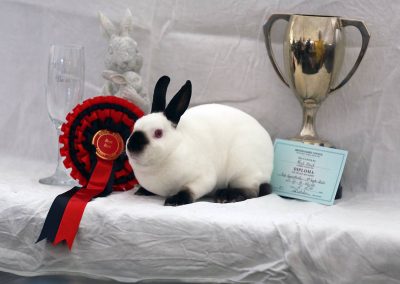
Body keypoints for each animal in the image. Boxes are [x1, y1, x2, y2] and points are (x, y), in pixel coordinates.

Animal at [126, 76, 274, 205]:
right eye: (134, 127)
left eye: (158, 133)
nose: (132, 146)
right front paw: (142, 191)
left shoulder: (202, 179)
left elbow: (189, 190)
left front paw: (174, 201)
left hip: (244, 171)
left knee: (252, 191)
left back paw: (225, 196)